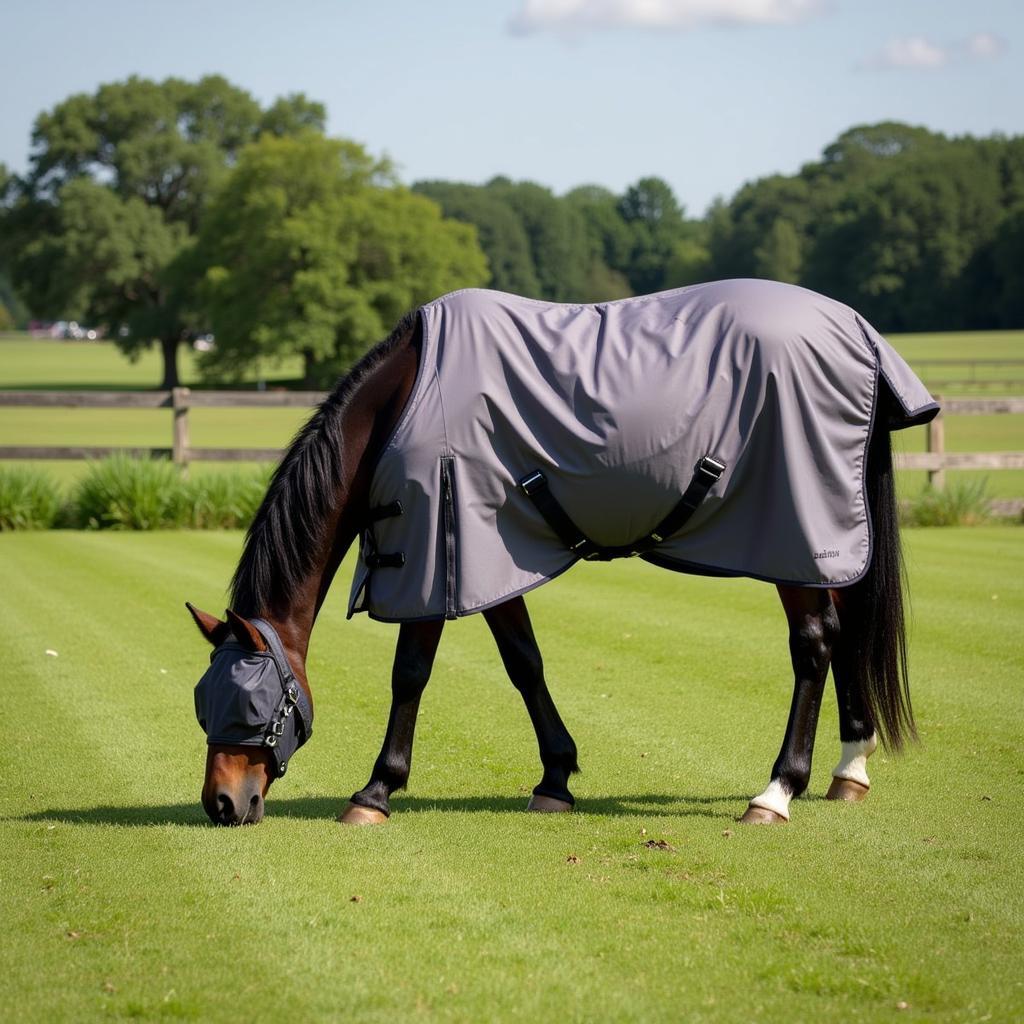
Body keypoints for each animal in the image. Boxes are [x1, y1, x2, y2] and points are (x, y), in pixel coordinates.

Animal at [188, 282, 937, 831]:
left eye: (250, 705)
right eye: (203, 701)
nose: (222, 804)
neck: (402, 401)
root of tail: (856, 331)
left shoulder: (433, 552)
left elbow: (410, 674)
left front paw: (376, 790)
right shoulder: (487, 561)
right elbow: (524, 662)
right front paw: (555, 778)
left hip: (793, 534)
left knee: (814, 642)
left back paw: (778, 789)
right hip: (816, 544)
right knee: (847, 629)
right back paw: (850, 767)